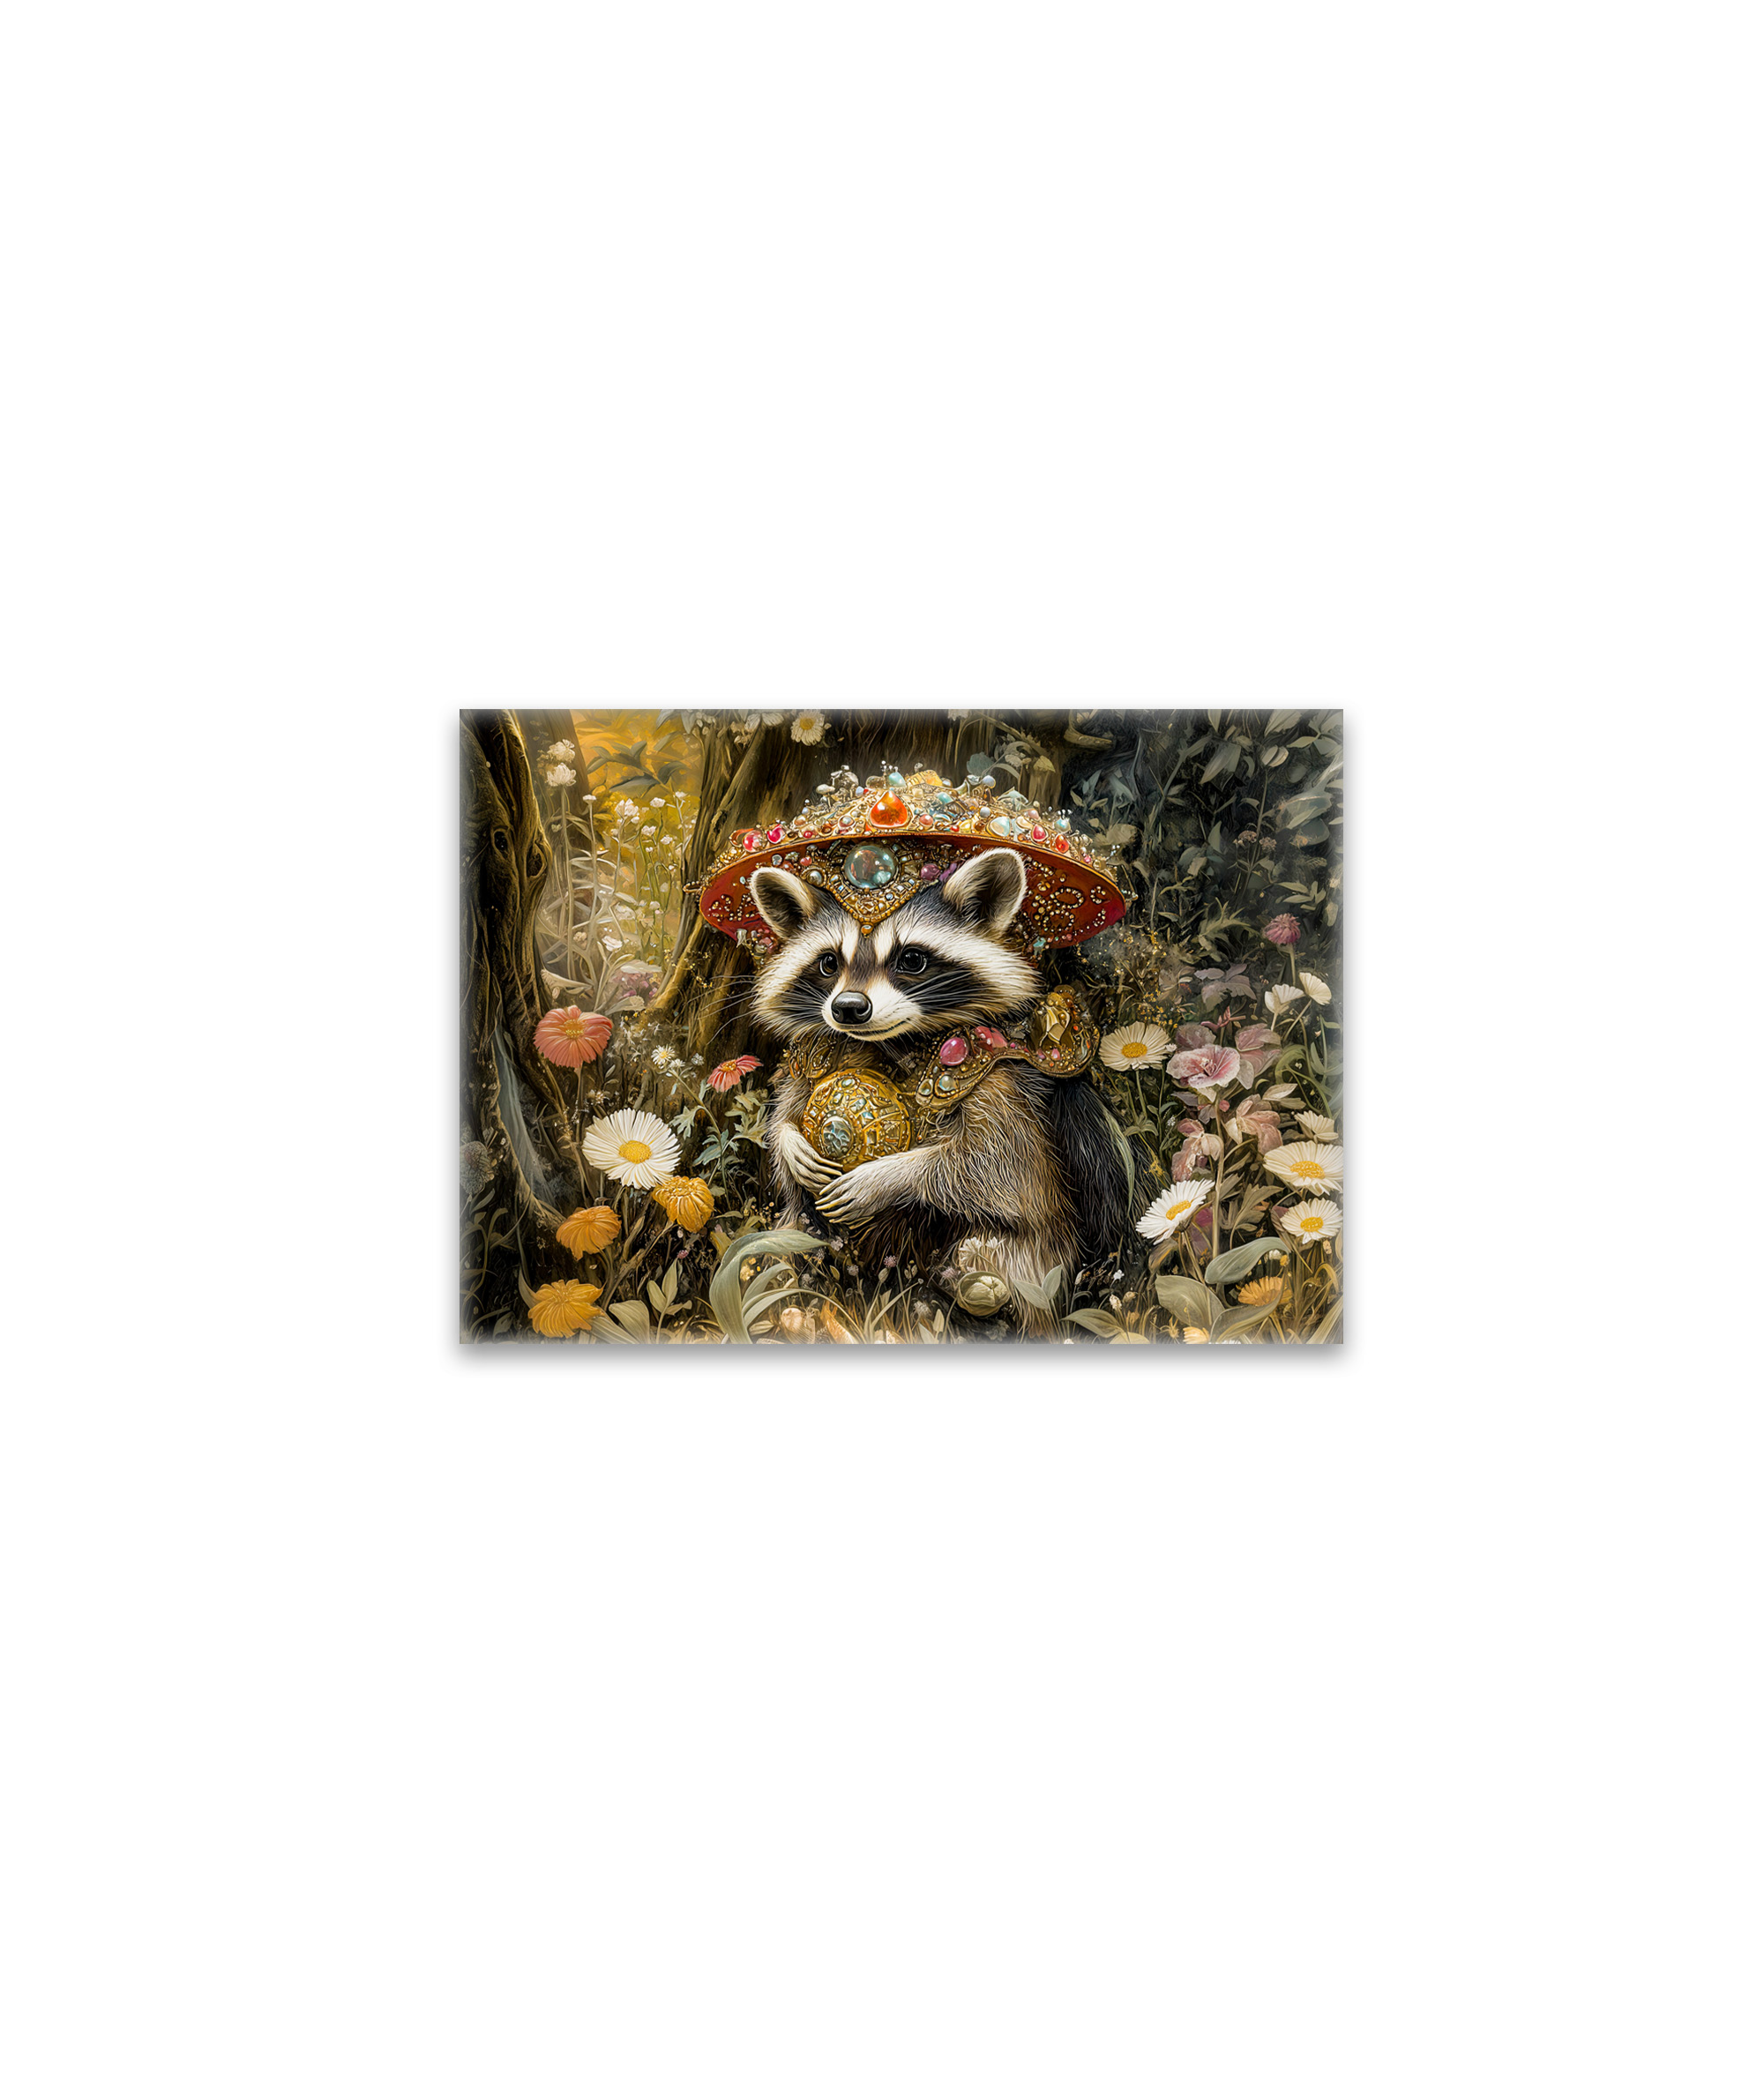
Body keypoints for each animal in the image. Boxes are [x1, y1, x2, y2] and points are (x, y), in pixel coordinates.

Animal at [748, 847, 1133, 1335]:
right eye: (829, 962)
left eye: (911, 959)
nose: (848, 1008)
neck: (889, 1043)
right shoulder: (818, 1051)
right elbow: (789, 1107)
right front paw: (789, 1140)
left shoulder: (998, 1077)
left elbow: (991, 1163)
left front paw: (887, 1176)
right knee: (796, 1235)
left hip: (1041, 1255)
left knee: (993, 1254)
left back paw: (977, 1294)